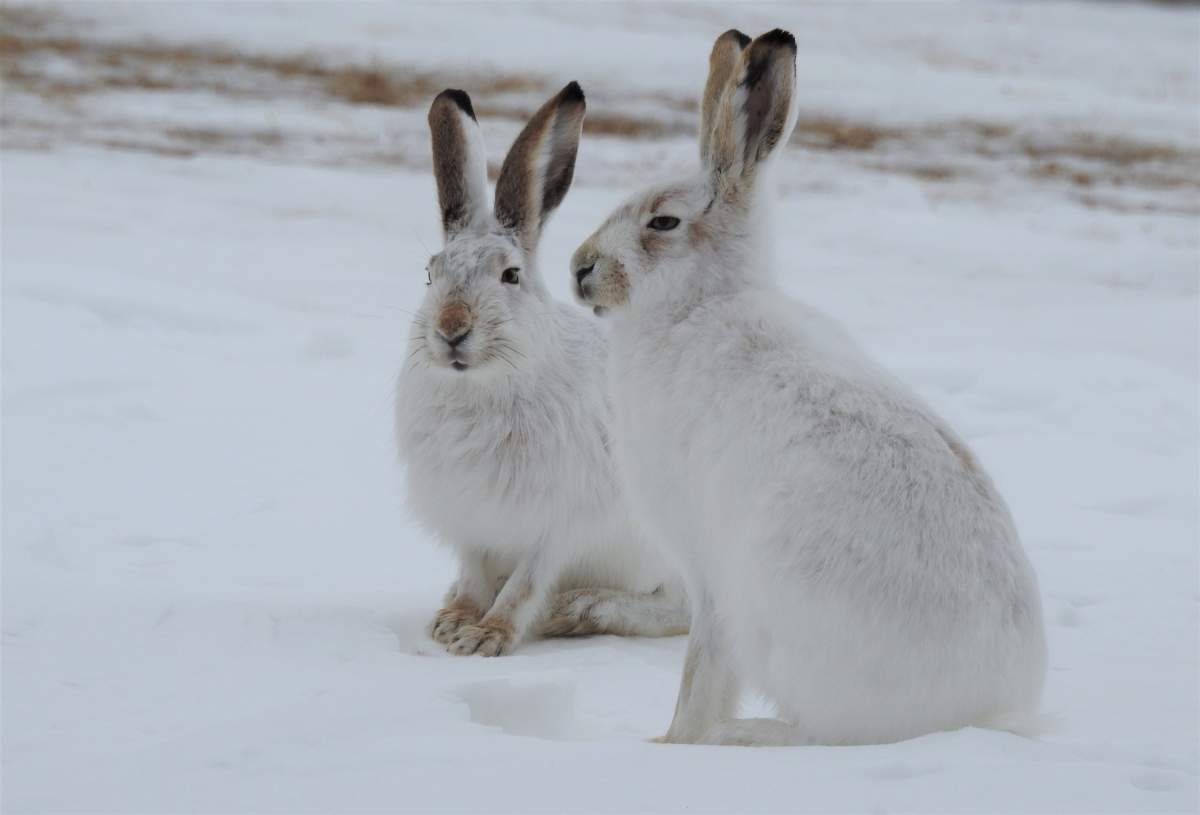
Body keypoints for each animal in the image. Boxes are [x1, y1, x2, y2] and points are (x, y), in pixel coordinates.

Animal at [395, 82, 688, 657]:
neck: (480, 385)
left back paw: (575, 611)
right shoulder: (471, 519)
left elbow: (525, 584)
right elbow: (474, 571)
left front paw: (486, 637)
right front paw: (453, 623)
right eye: (430, 273)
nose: (451, 329)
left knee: (676, 611)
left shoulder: (559, 522)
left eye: (510, 275)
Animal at [570, 30, 1047, 744]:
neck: (699, 304)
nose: (580, 268)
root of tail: (980, 712)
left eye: (663, 223)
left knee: (826, 733)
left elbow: (702, 665)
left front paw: (674, 740)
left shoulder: (708, 564)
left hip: (776, 599)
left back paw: (740, 736)